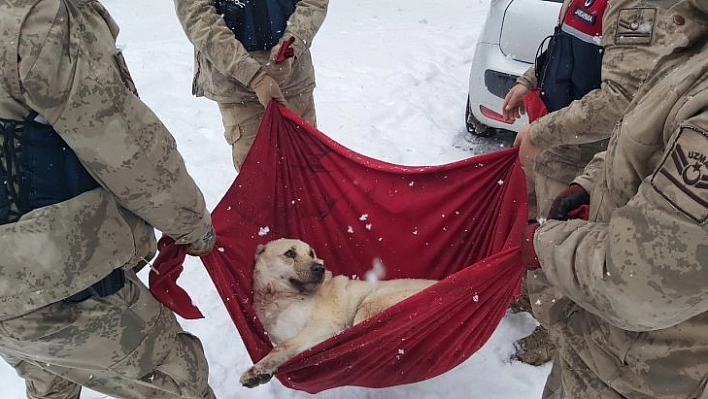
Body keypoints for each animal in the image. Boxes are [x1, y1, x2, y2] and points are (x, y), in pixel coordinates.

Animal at [239, 238, 436, 388]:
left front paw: (256, 370)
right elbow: (282, 343)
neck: (281, 297)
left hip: (369, 304)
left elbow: (284, 346)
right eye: (290, 253)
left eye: (311, 253)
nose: (320, 268)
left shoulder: (324, 325)